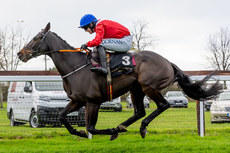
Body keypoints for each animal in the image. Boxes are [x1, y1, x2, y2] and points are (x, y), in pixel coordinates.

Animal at [18, 23, 223, 140]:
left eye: (36, 38)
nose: (20, 53)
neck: (76, 66)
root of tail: (167, 62)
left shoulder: (92, 101)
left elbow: (91, 127)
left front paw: (108, 130)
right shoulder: (77, 100)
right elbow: (62, 116)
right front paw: (81, 133)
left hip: (149, 86)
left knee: (163, 105)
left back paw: (138, 128)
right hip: (136, 90)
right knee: (139, 111)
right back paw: (121, 127)